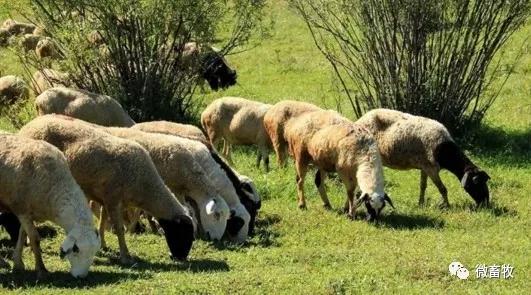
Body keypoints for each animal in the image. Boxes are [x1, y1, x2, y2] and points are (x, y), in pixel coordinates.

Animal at [0, 133, 100, 278]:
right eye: (76, 250)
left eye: (94, 252)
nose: (81, 277)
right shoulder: (21, 209)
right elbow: (34, 238)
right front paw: (41, 269)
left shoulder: (29, 213)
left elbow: (22, 236)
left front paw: (18, 264)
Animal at [18, 115, 198, 264]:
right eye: (182, 233)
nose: (179, 257)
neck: (144, 185)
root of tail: (30, 125)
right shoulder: (113, 198)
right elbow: (118, 228)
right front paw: (125, 256)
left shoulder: (106, 197)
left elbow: (103, 220)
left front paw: (103, 245)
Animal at [356, 108, 492, 208]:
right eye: (477, 183)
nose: (485, 204)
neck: (444, 151)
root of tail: (360, 120)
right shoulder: (431, 168)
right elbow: (443, 189)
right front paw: (447, 206)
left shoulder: (424, 167)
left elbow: (423, 186)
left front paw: (420, 203)